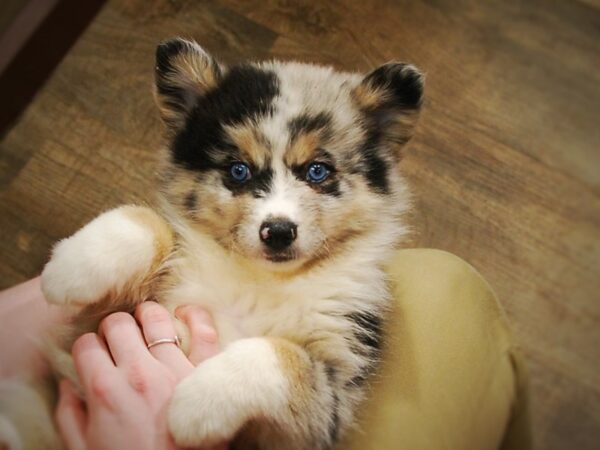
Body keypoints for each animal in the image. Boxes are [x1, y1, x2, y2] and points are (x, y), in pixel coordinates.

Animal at [1, 38, 422, 450]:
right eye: (239, 170)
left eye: (317, 171)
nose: (278, 231)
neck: (259, 282)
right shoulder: (102, 322)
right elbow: (150, 222)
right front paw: (70, 268)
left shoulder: (332, 396)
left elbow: (281, 355)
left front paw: (196, 402)